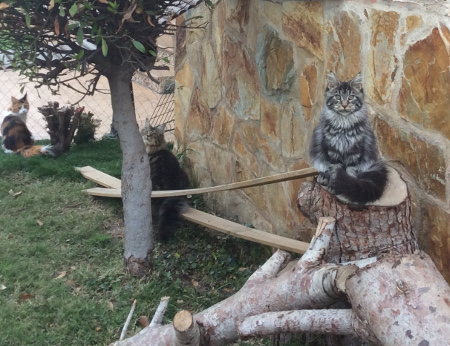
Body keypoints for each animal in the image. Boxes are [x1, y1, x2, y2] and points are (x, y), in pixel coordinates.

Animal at [310, 71, 386, 204]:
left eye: (351, 97)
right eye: (337, 97)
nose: (344, 105)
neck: (343, 125)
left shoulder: (354, 151)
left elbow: (350, 172)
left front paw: (348, 186)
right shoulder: (332, 150)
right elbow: (334, 170)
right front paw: (333, 186)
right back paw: (323, 178)